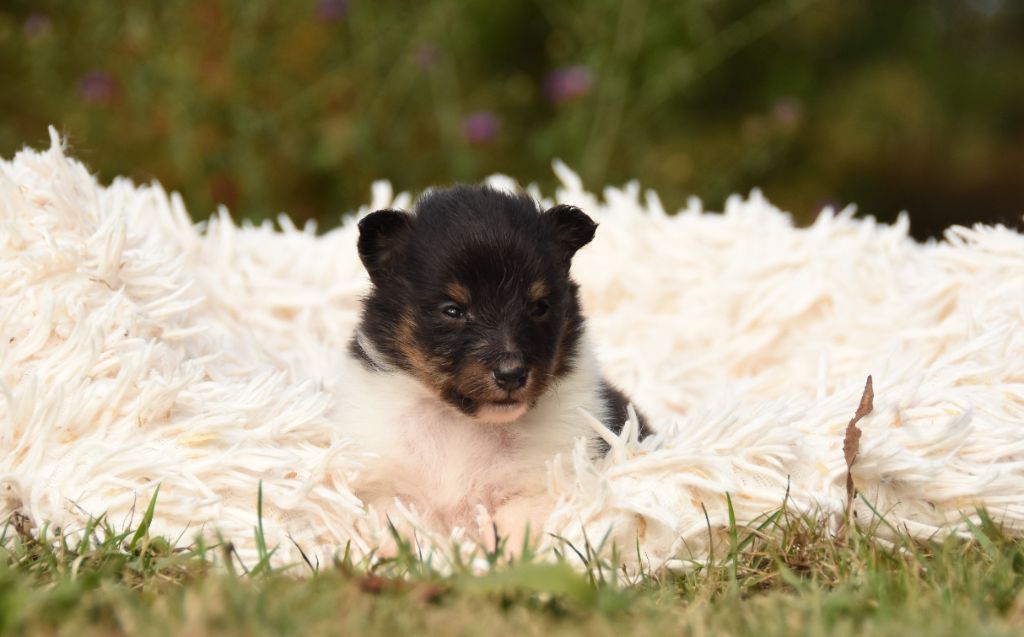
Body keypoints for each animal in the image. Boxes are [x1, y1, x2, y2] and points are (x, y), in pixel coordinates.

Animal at [335, 184, 647, 548]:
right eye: (452, 310)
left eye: (539, 307)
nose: (511, 374)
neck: (463, 425)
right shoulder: (382, 487)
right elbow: (402, 523)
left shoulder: (549, 481)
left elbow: (517, 520)